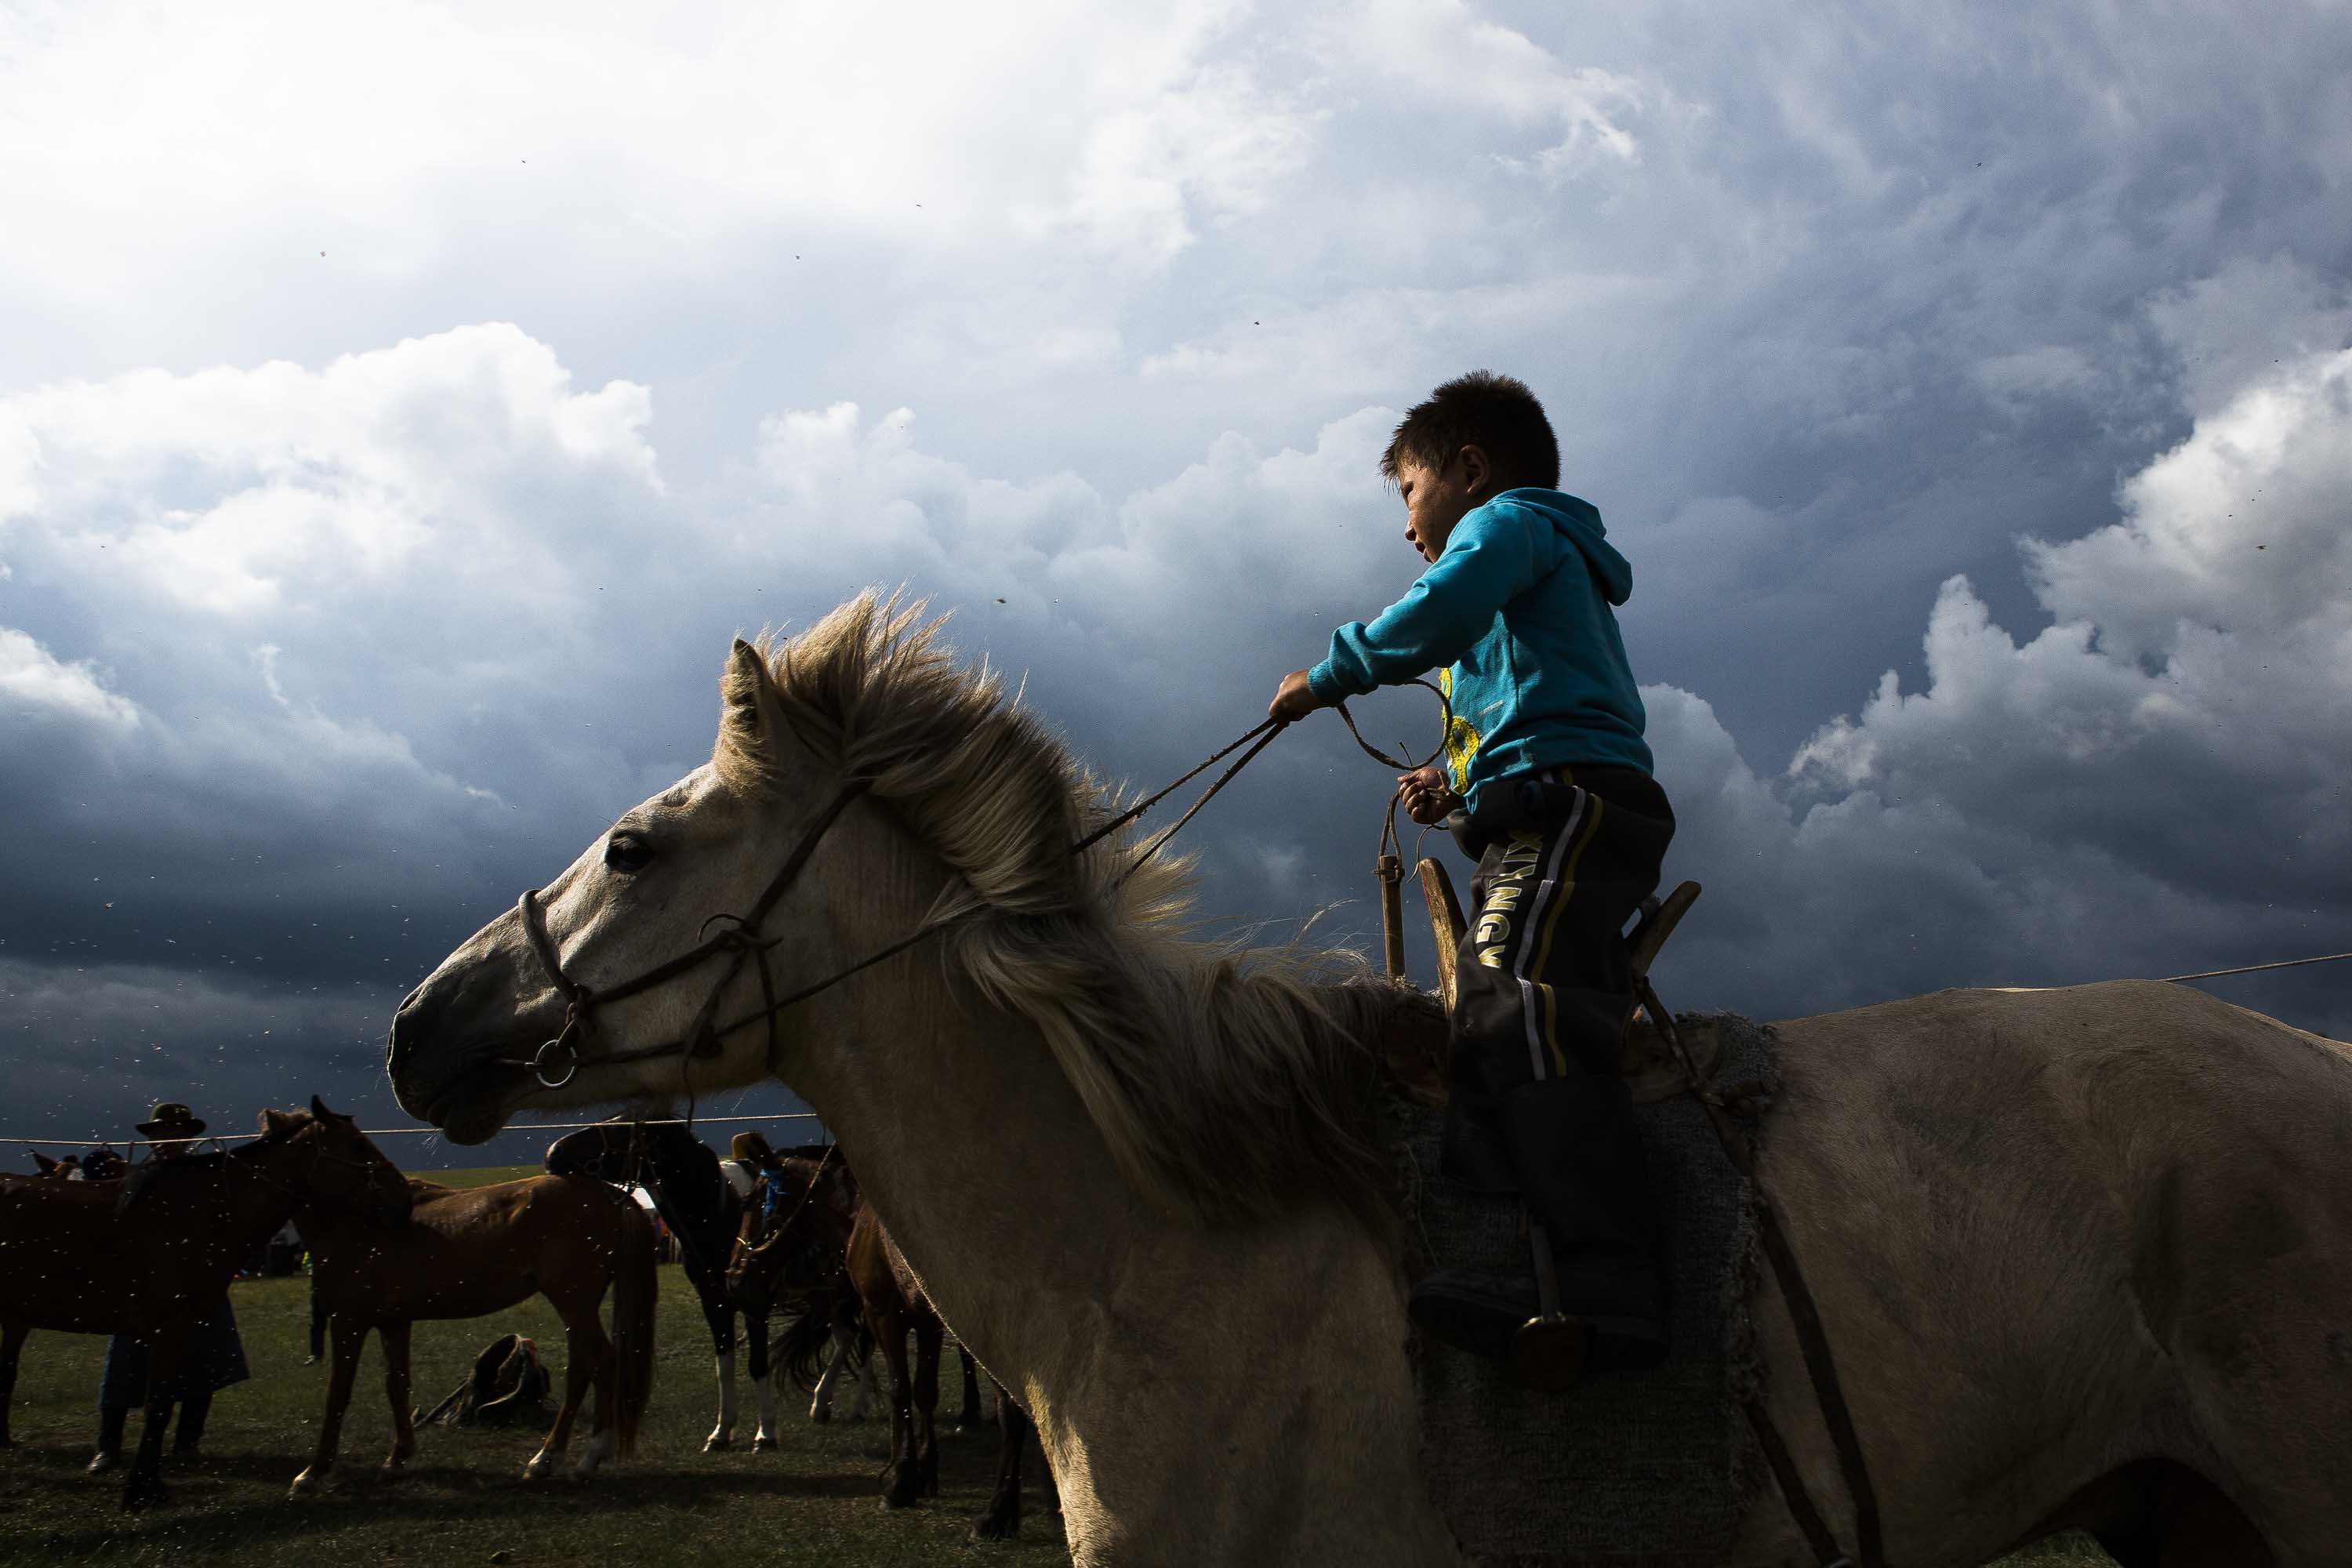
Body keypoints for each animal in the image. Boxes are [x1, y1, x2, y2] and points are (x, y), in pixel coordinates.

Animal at [0, 1100, 408, 1506]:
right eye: (358, 1145)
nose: (403, 1194)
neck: (203, 1212)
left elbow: (164, 1403)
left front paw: (147, 1482)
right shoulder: (166, 1328)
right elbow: (158, 1406)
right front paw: (142, 1488)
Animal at [289, 1167, 658, 1496]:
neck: (359, 1224)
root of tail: (609, 1193)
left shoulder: (348, 1321)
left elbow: (338, 1393)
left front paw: (314, 1472)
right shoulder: (394, 1322)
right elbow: (397, 1386)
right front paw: (398, 1460)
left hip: (574, 1304)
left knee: (603, 1364)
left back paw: (588, 1458)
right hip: (577, 1309)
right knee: (582, 1370)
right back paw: (546, 1460)